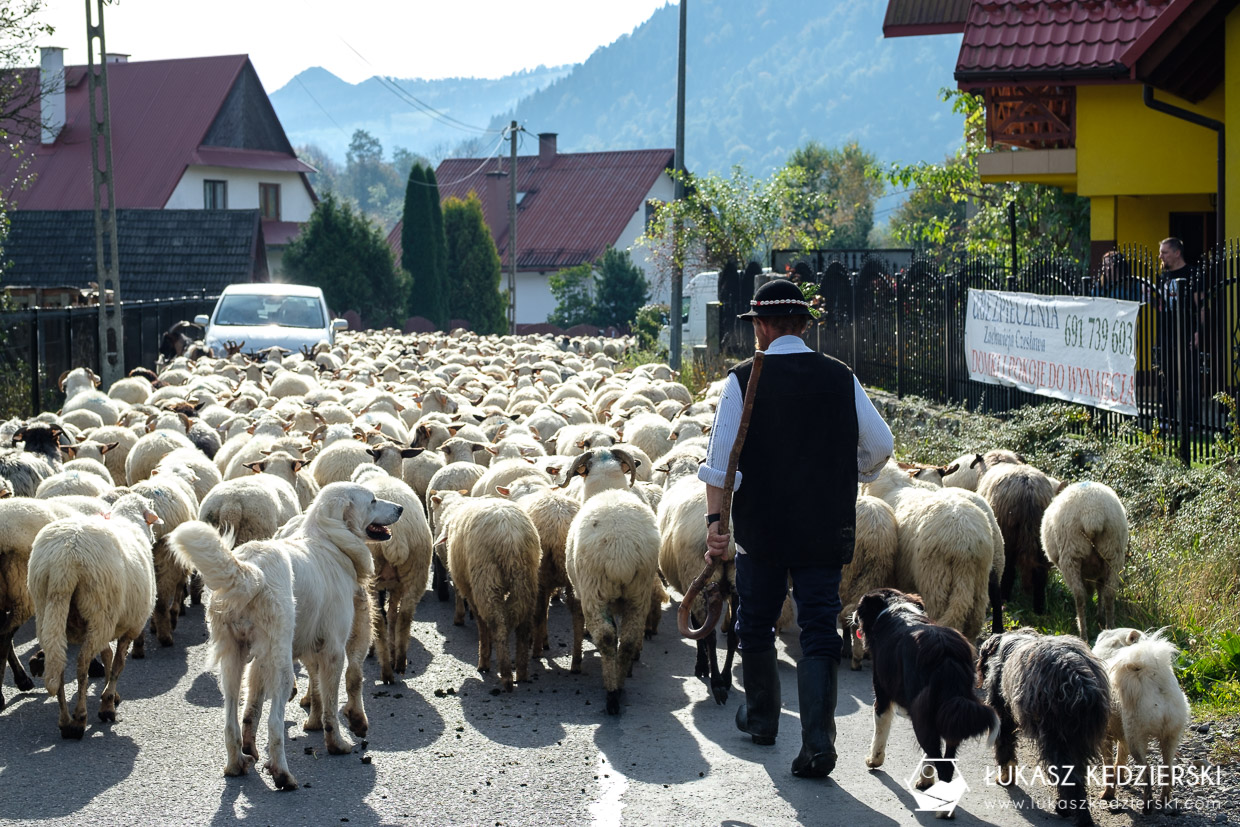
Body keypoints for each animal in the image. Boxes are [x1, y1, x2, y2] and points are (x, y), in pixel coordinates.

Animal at [169, 481, 399, 788]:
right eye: (373, 501)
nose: (400, 508)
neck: (329, 540)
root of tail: (251, 568)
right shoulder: (333, 649)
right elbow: (332, 700)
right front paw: (337, 743)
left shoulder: (278, 654)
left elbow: (258, 706)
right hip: (282, 664)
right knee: (275, 723)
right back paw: (283, 775)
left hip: (233, 660)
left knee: (230, 721)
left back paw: (236, 764)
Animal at [977, 629, 1116, 823]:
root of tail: (1077, 679)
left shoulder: (1003, 713)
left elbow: (1005, 747)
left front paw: (1005, 777)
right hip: (1081, 738)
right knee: (1077, 775)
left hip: (1055, 736)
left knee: (1069, 778)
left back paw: (1071, 812)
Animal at [1041, 478, 1130, 639]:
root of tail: (1092, 513)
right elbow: (1100, 587)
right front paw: (1099, 614)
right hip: (1113, 552)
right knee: (1109, 593)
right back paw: (1109, 627)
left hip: (1071, 553)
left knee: (1079, 596)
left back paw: (1083, 634)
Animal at [1096, 629, 1190, 813]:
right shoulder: (1122, 736)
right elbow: (1120, 760)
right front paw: (1120, 779)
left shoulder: (1106, 736)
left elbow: (1109, 766)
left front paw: (1109, 793)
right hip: (1170, 736)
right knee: (1168, 770)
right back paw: (1164, 800)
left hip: (1137, 737)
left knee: (1146, 771)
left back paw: (1148, 806)